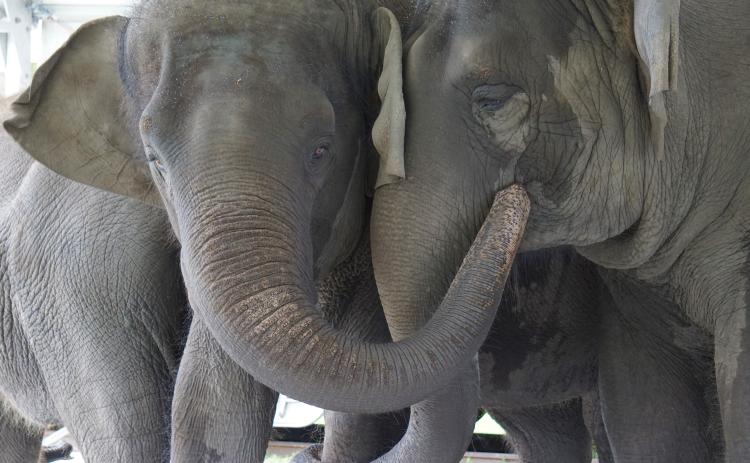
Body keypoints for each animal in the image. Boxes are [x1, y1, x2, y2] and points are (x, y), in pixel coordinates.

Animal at [4, 0, 531, 461]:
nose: (515, 196)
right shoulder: (84, 275)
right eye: (155, 162)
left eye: (321, 149)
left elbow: (352, 417)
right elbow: (210, 410)